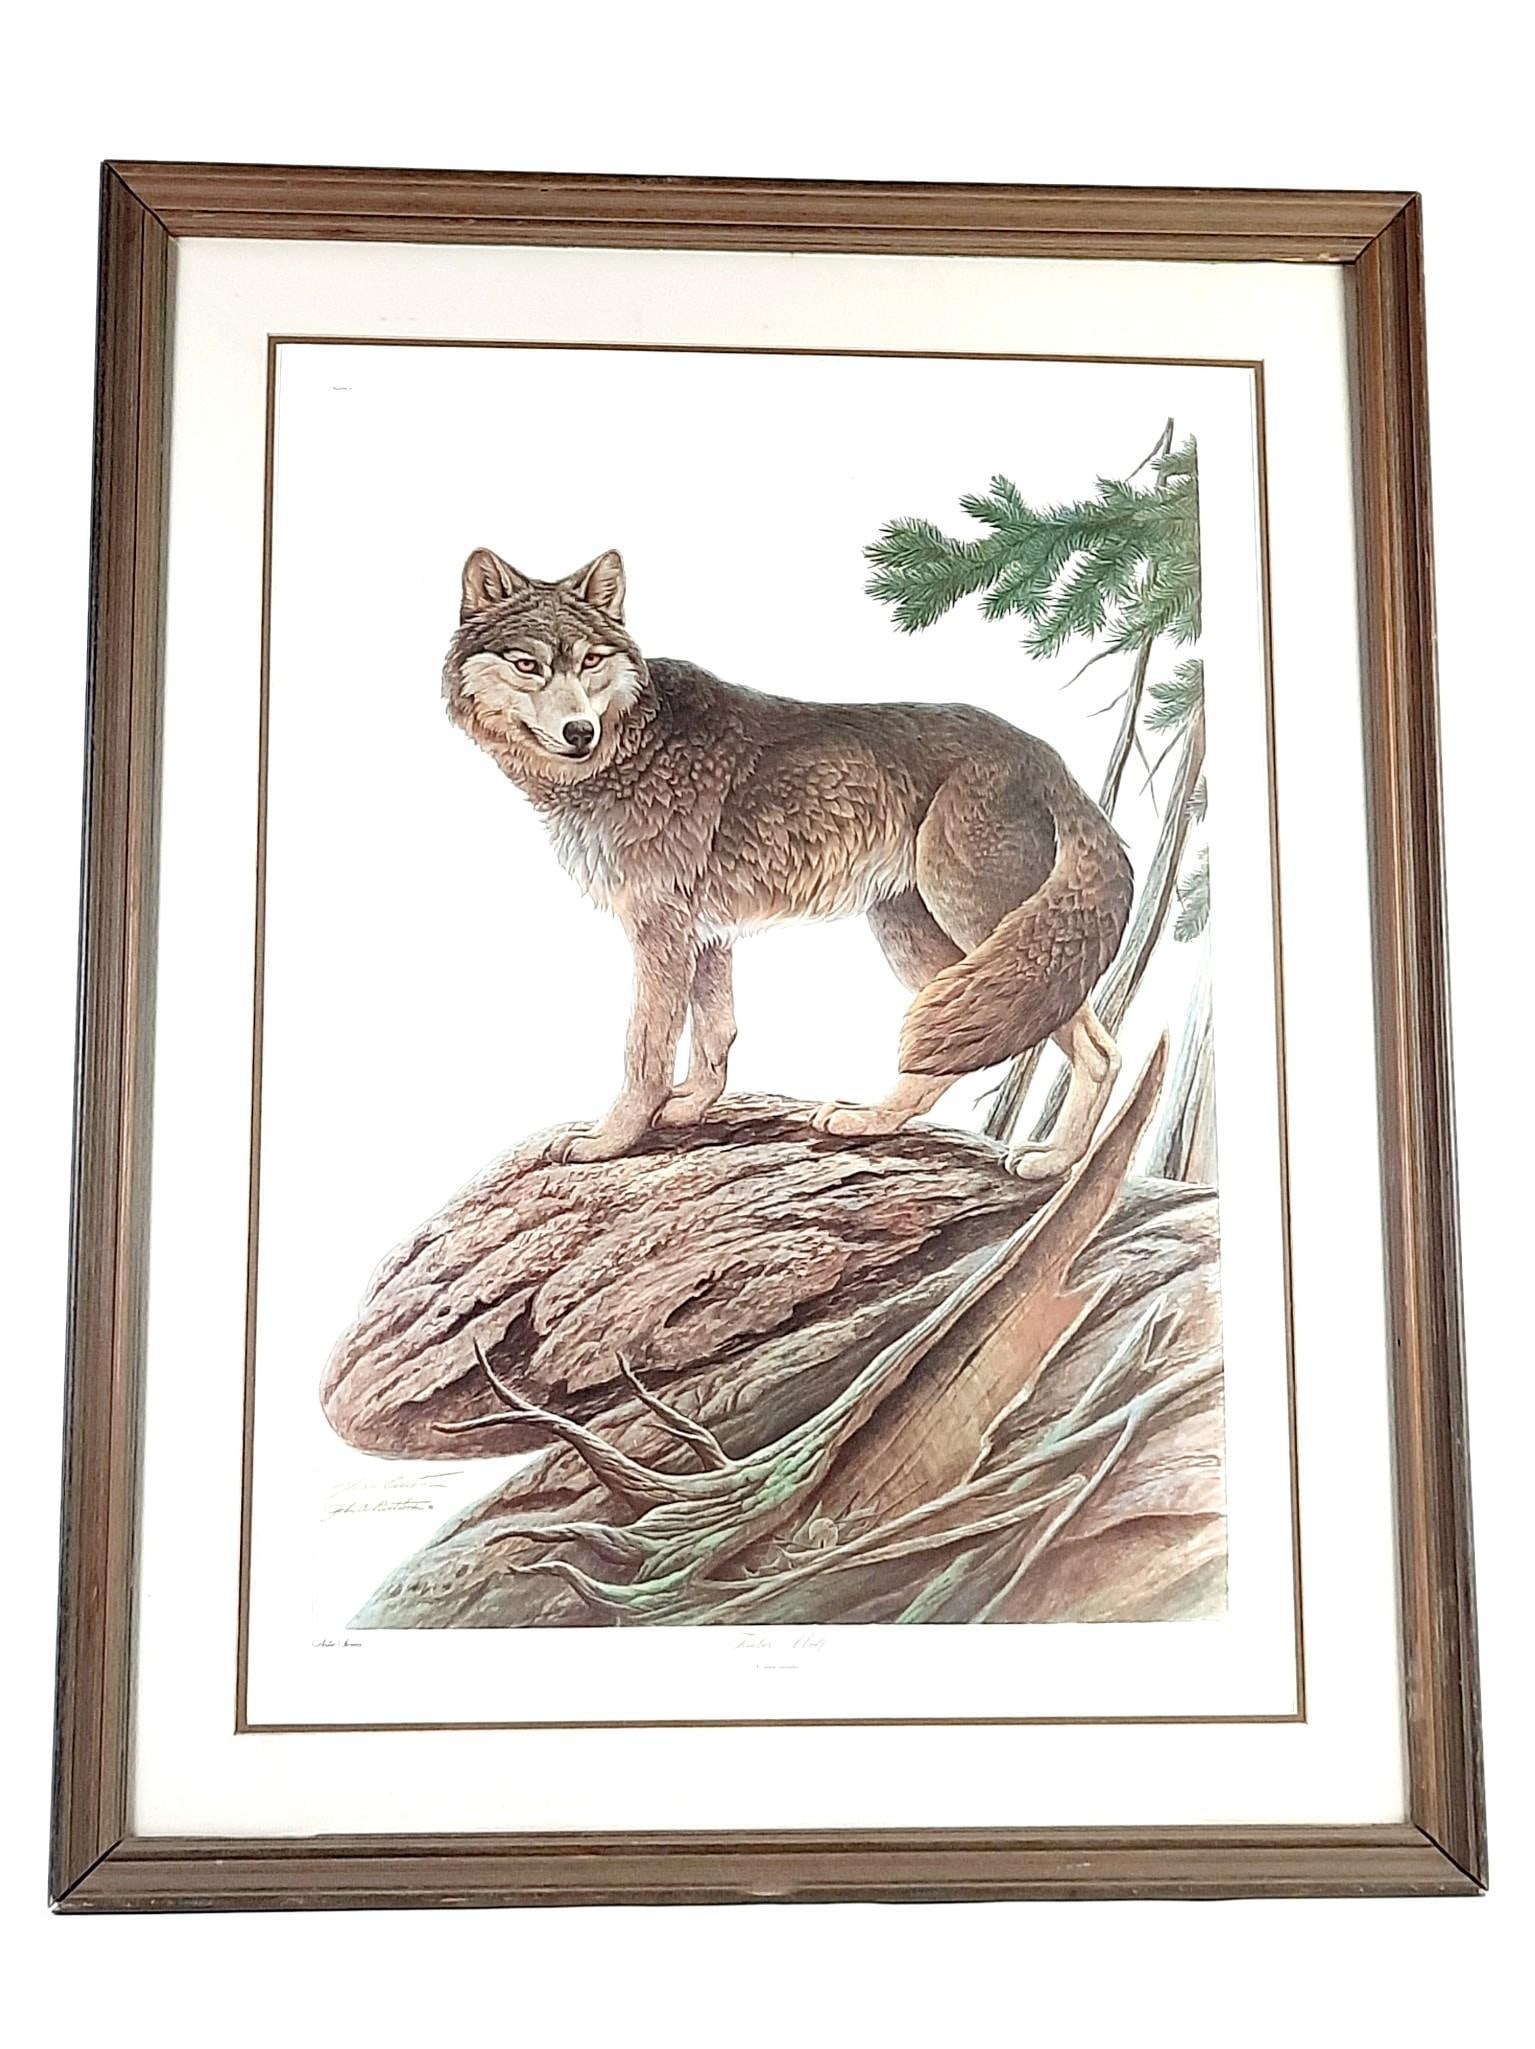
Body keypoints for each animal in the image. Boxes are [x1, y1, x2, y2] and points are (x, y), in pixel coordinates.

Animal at [443, 547, 1134, 1175]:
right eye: (528, 665)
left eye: (589, 661)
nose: (579, 732)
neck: (629, 743)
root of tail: (1048, 759)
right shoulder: (705, 934)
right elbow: (715, 1035)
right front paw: (688, 1110)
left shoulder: (659, 930)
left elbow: (645, 1052)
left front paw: (609, 1141)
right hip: (921, 940)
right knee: (943, 1058)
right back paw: (871, 1122)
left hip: (983, 929)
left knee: (1101, 1051)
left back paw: (1058, 1164)